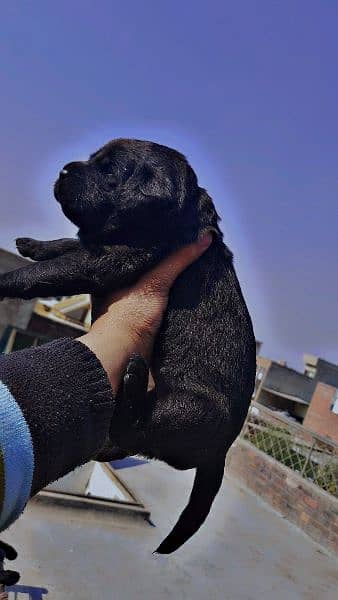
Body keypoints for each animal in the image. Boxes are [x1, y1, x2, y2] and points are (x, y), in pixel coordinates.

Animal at [0, 139, 255, 552]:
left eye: (109, 171)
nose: (64, 170)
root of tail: (220, 453)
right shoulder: (96, 249)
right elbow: (70, 243)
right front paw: (35, 244)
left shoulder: (108, 259)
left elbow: (43, 272)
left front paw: (6, 277)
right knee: (130, 437)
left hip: (185, 407)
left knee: (135, 428)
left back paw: (133, 378)